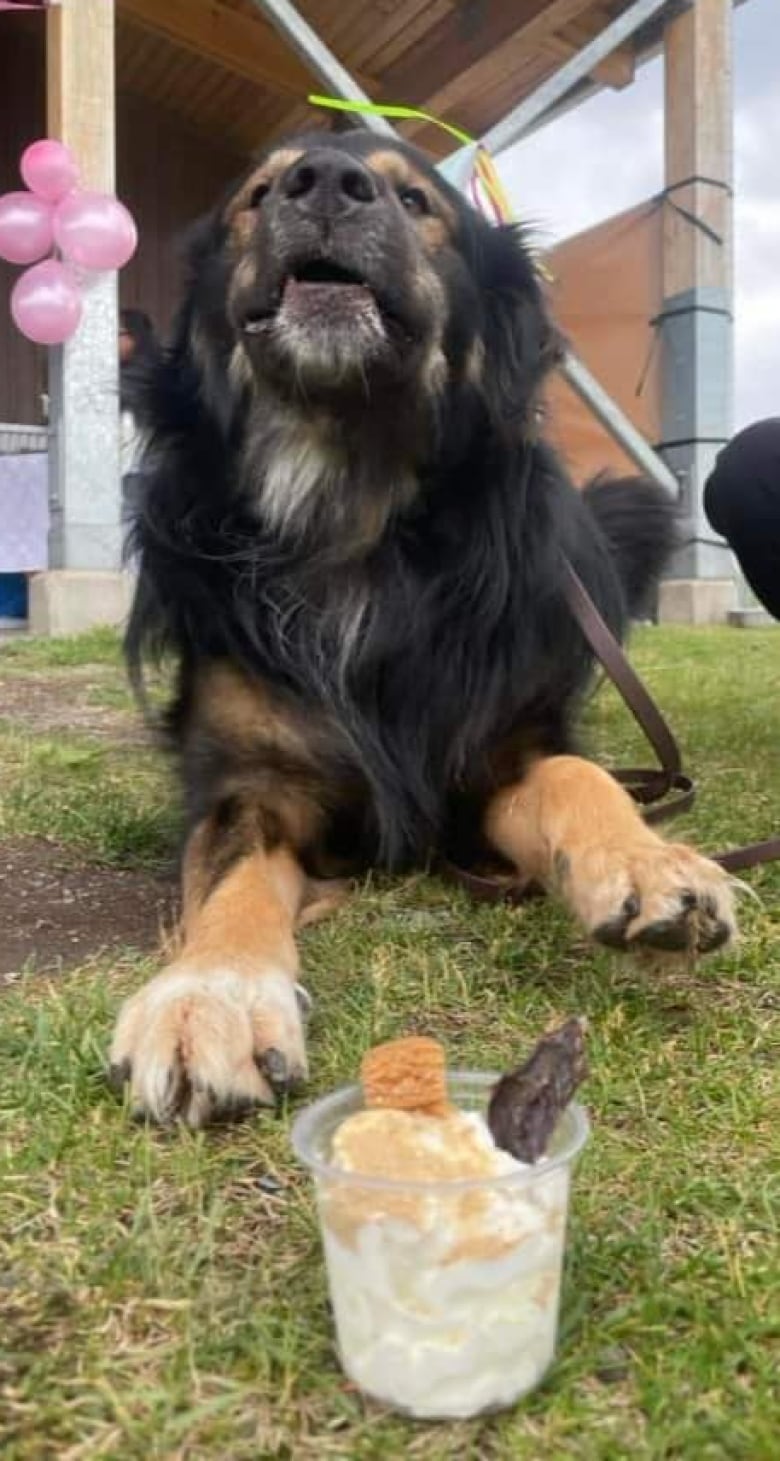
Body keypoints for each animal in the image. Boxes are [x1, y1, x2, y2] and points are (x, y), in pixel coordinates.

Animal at [111, 131, 739, 1122]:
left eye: (417, 202)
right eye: (257, 193)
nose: (325, 184)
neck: (349, 499)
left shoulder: (493, 758)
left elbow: (580, 775)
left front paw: (649, 864)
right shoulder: (249, 782)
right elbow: (228, 882)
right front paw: (208, 996)